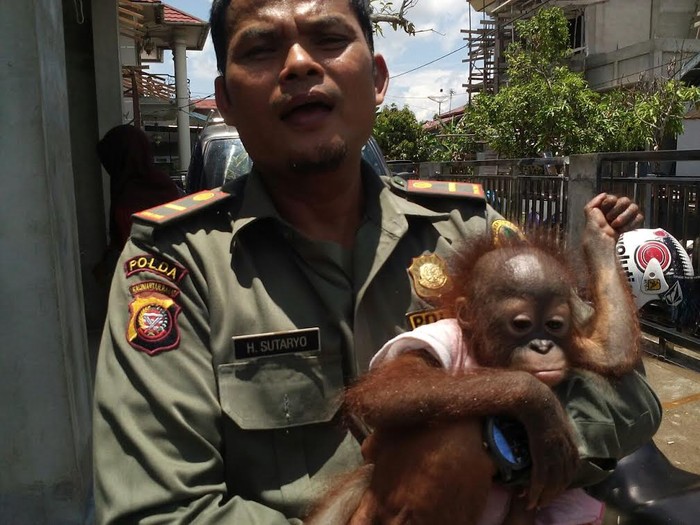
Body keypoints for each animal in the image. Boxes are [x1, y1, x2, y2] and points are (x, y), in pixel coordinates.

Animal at [307, 194, 642, 525]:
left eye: (554, 325)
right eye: (521, 324)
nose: (543, 346)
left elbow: (609, 352)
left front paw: (602, 231)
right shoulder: (440, 334)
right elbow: (388, 388)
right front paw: (539, 404)